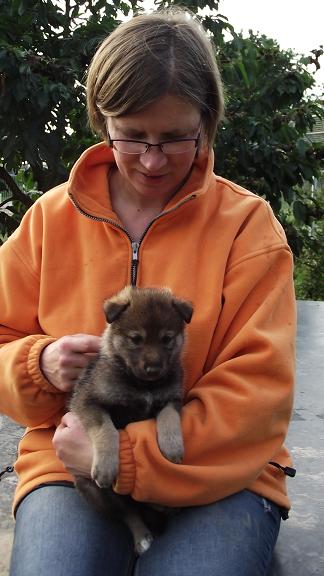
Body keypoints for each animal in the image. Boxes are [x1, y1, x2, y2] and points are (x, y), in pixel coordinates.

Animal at [69, 286, 192, 556]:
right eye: (136, 339)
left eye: (167, 339)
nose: (153, 369)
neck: (143, 386)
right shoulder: (88, 401)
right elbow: (106, 430)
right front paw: (106, 465)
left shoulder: (173, 397)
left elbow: (168, 417)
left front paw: (172, 446)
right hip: (93, 491)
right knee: (128, 512)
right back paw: (142, 536)